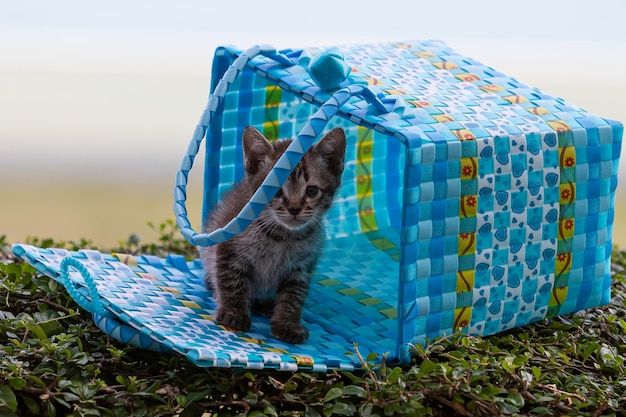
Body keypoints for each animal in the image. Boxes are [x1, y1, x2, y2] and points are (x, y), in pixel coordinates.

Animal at [201, 125, 344, 342]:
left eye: (311, 190)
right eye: (275, 191)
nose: (294, 208)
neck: (283, 237)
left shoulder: (301, 268)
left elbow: (293, 297)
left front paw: (287, 324)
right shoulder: (228, 245)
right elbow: (231, 280)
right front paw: (234, 312)